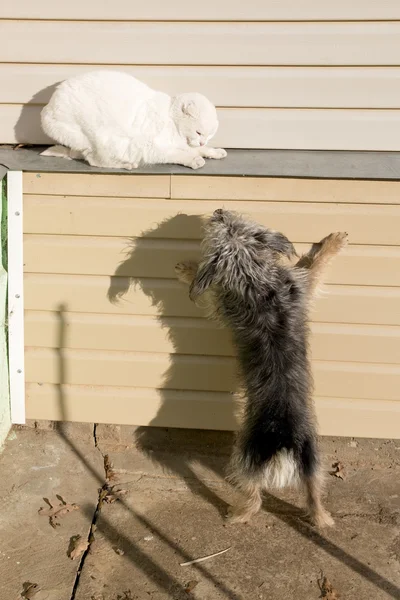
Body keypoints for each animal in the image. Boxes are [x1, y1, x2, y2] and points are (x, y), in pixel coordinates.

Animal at [41, 70, 227, 170]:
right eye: (198, 132)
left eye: (209, 136)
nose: (202, 141)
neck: (171, 121)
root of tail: (47, 108)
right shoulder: (151, 148)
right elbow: (178, 154)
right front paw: (194, 160)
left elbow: (196, 149)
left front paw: (214, 151)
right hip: (95, 137)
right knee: (94, 160)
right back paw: (126, 164)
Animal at [175, 209, 346, 528]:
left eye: (227, 224)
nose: (218, 211)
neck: (255, 277)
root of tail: (283, 439)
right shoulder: (301, 283)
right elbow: (315, 264)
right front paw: (334, 241)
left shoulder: (222, 300)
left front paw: (186, 270)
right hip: (312, 461)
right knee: (311, 496)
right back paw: (322, 520)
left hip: (246, 456)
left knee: (254, 498)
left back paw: (237, 514)